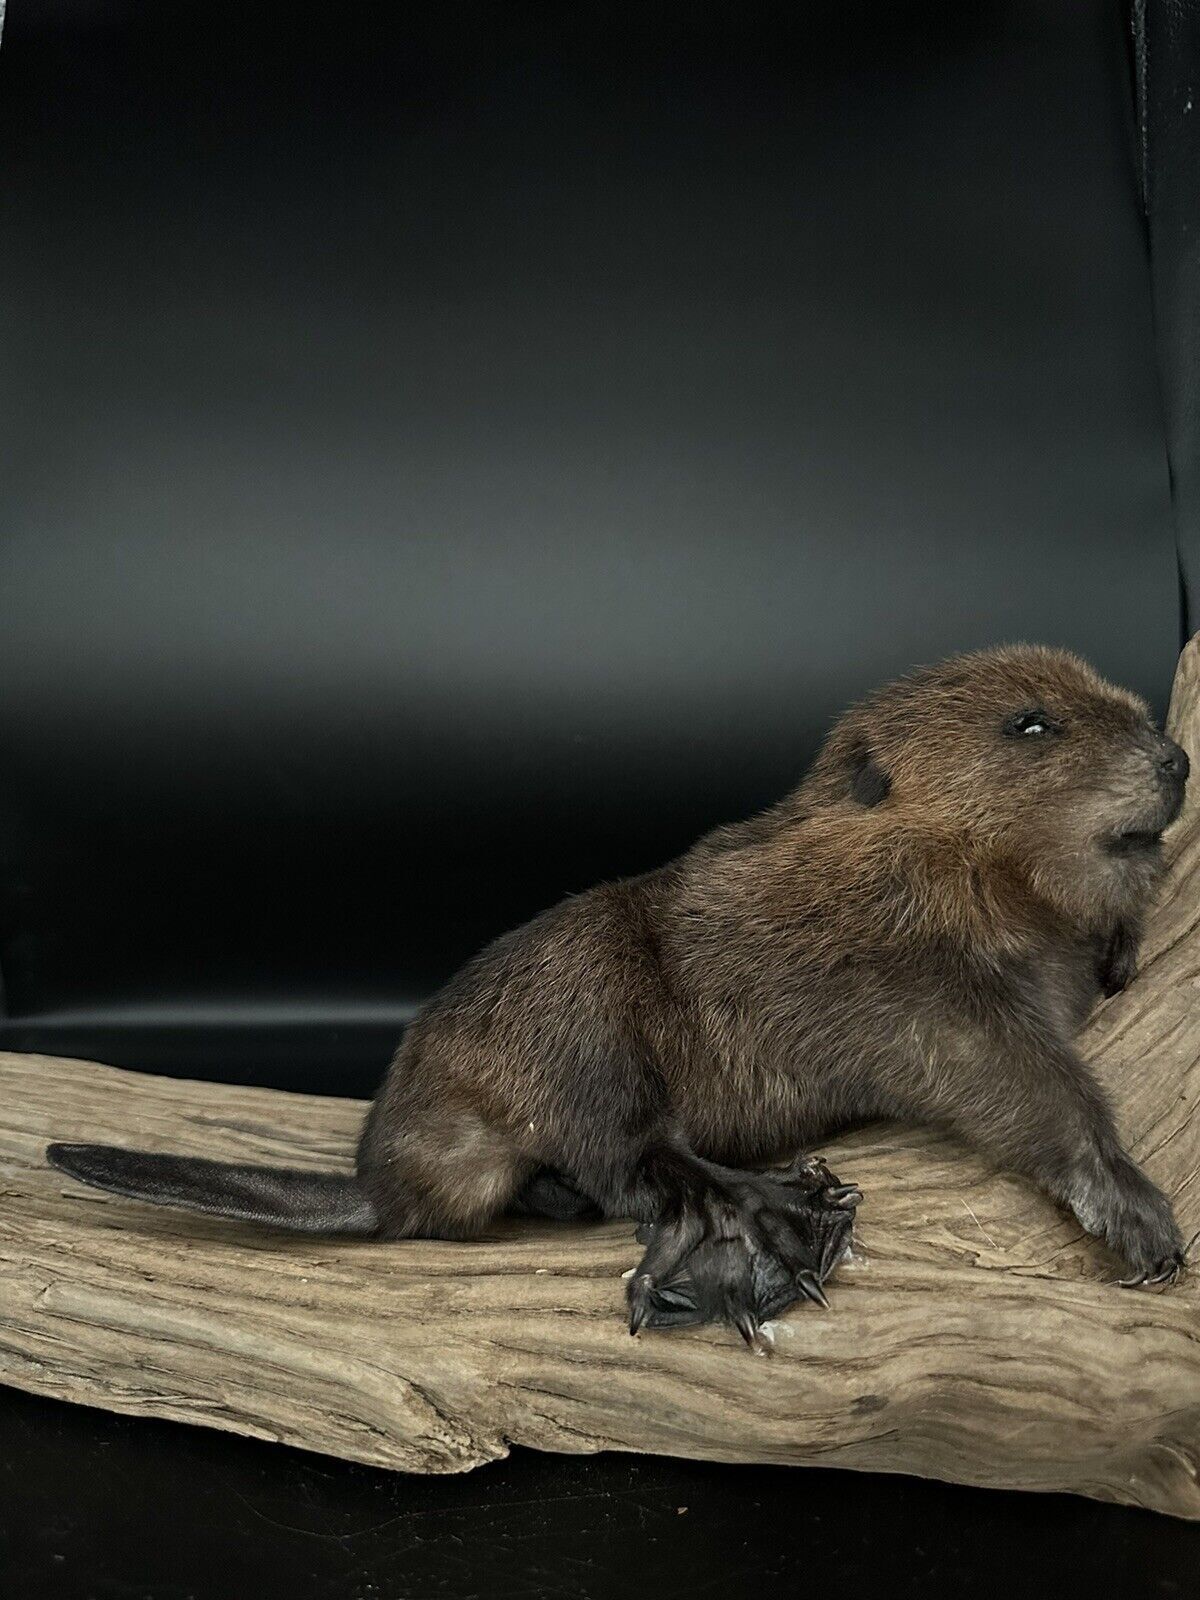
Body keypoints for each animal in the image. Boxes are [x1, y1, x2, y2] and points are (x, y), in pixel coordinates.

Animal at [47, 643, 1196, 1344]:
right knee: (631, 1159)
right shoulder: (896, 968)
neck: (901, 855)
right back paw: (765, 1211)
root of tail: (385, 1184)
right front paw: (1138, 1216)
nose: (1175, 757)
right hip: (576, 999)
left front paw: (1123, 946)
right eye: (1031, 724)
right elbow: (1010, 1073)